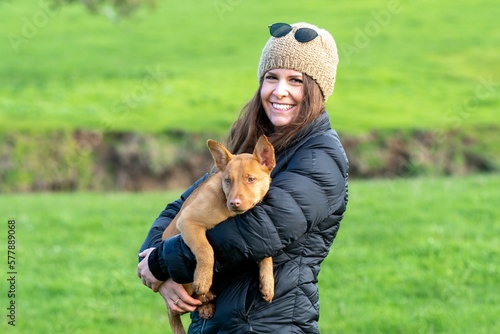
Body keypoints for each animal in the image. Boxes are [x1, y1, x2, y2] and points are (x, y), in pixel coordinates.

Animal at [162, 134, 276, 334]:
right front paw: (203, 279)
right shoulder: (188, 221)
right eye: (228, 180)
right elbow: (206, 249)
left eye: (251, 179)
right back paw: (205, 297)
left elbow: (265, 252)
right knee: (184, 304)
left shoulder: (256, 230)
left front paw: (268, 283)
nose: (234, 203)